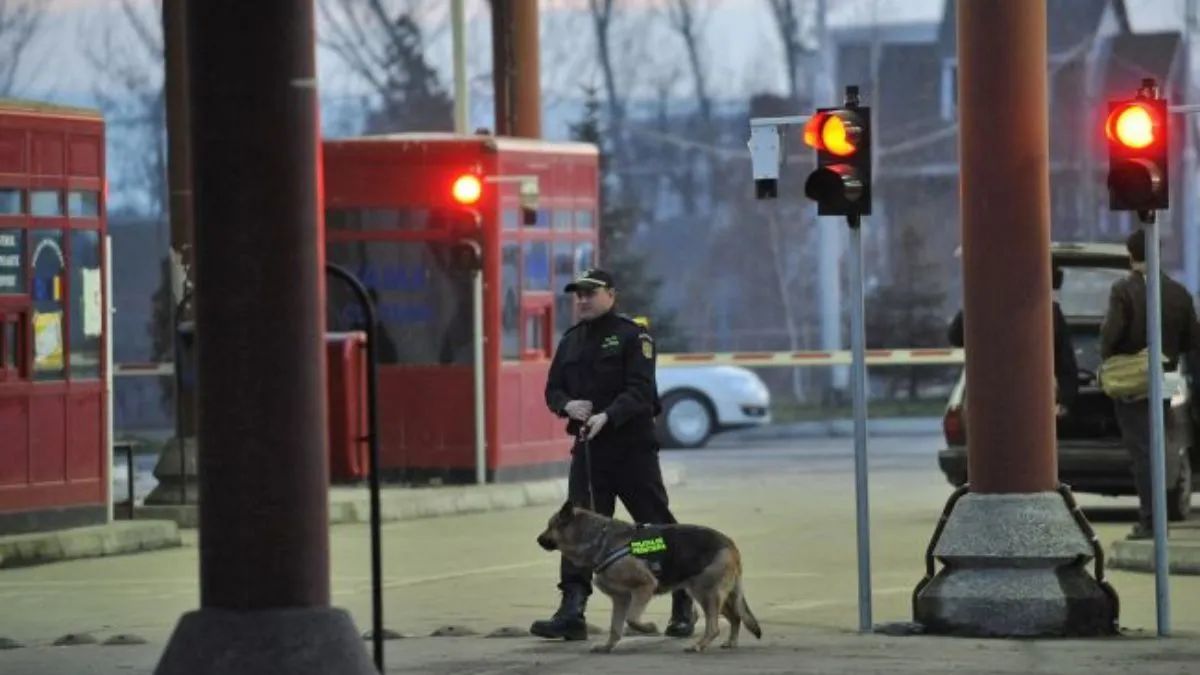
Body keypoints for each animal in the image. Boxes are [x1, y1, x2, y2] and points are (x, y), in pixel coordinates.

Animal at [535, 499, 758, 653]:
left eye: (550, 525)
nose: (537, 539)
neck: (599, 539)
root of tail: (730, 543)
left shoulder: (644, 587)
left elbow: (632, 619)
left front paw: (648, 627)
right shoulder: (621, 599)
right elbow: (615, 627)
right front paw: (608, 646)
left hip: (706, 593)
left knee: (714, 627)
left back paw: (699, 645)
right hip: (716, 595)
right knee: (736, 617)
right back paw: (730, 642)